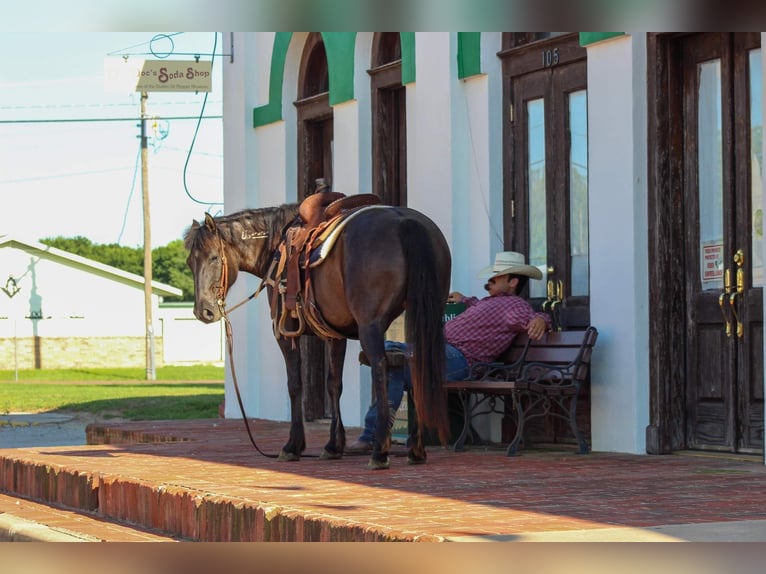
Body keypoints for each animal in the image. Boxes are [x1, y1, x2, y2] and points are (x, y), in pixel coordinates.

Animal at [184, 202, 452, 472]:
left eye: (214, 257)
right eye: (189, 262)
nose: (203, 311)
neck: (276, 247)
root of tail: (404, 221)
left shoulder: (284, 331)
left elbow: (295, 385)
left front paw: (292, 446)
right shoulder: (334, 335)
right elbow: (334, 384)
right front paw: (333, 445)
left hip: (371, 326)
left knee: (380, 368)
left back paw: (380, 451)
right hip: (419, 316)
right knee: (415, 366)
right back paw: (415, 449)